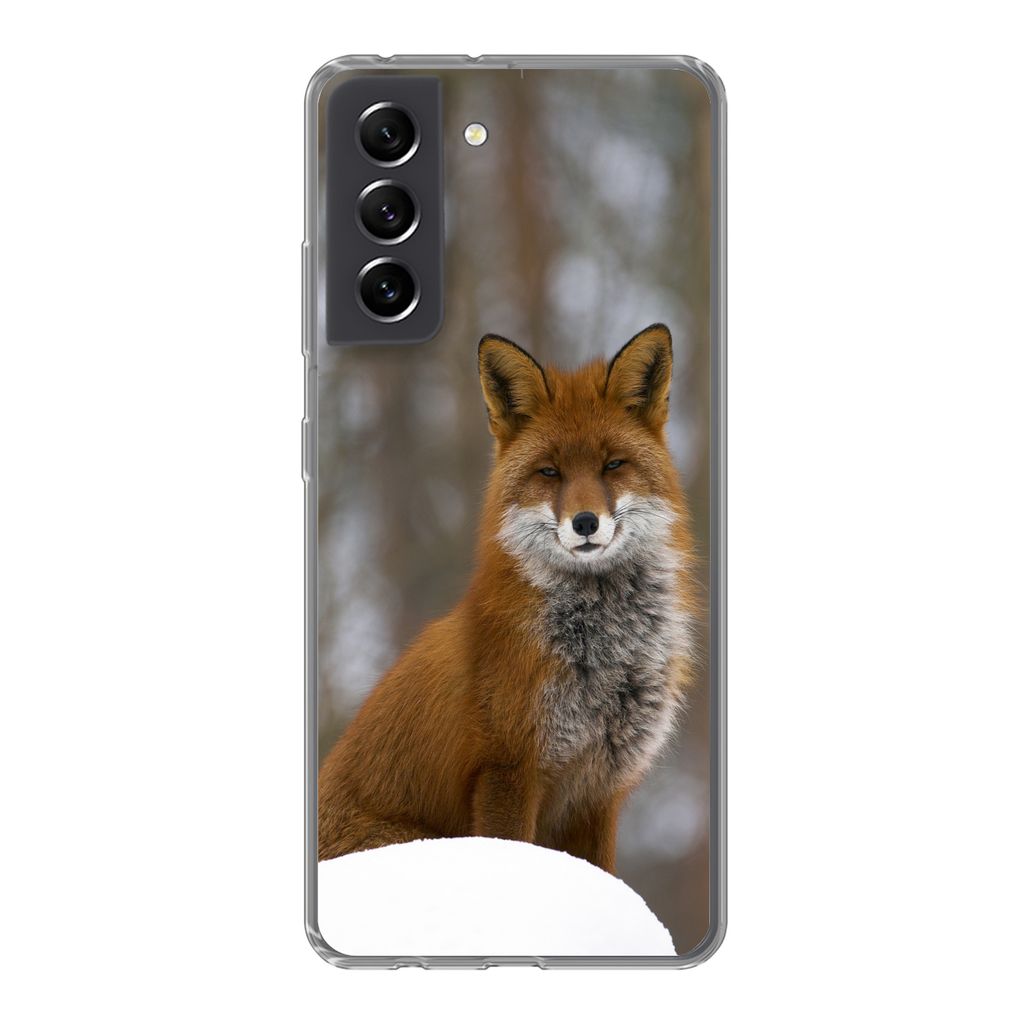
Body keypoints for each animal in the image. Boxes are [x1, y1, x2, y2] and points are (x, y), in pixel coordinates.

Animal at [318, 323, 700, 873]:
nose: (586, 522)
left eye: (613, 465)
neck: (602, 656)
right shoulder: (508, 770)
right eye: (549, 472)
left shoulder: (599, 791)